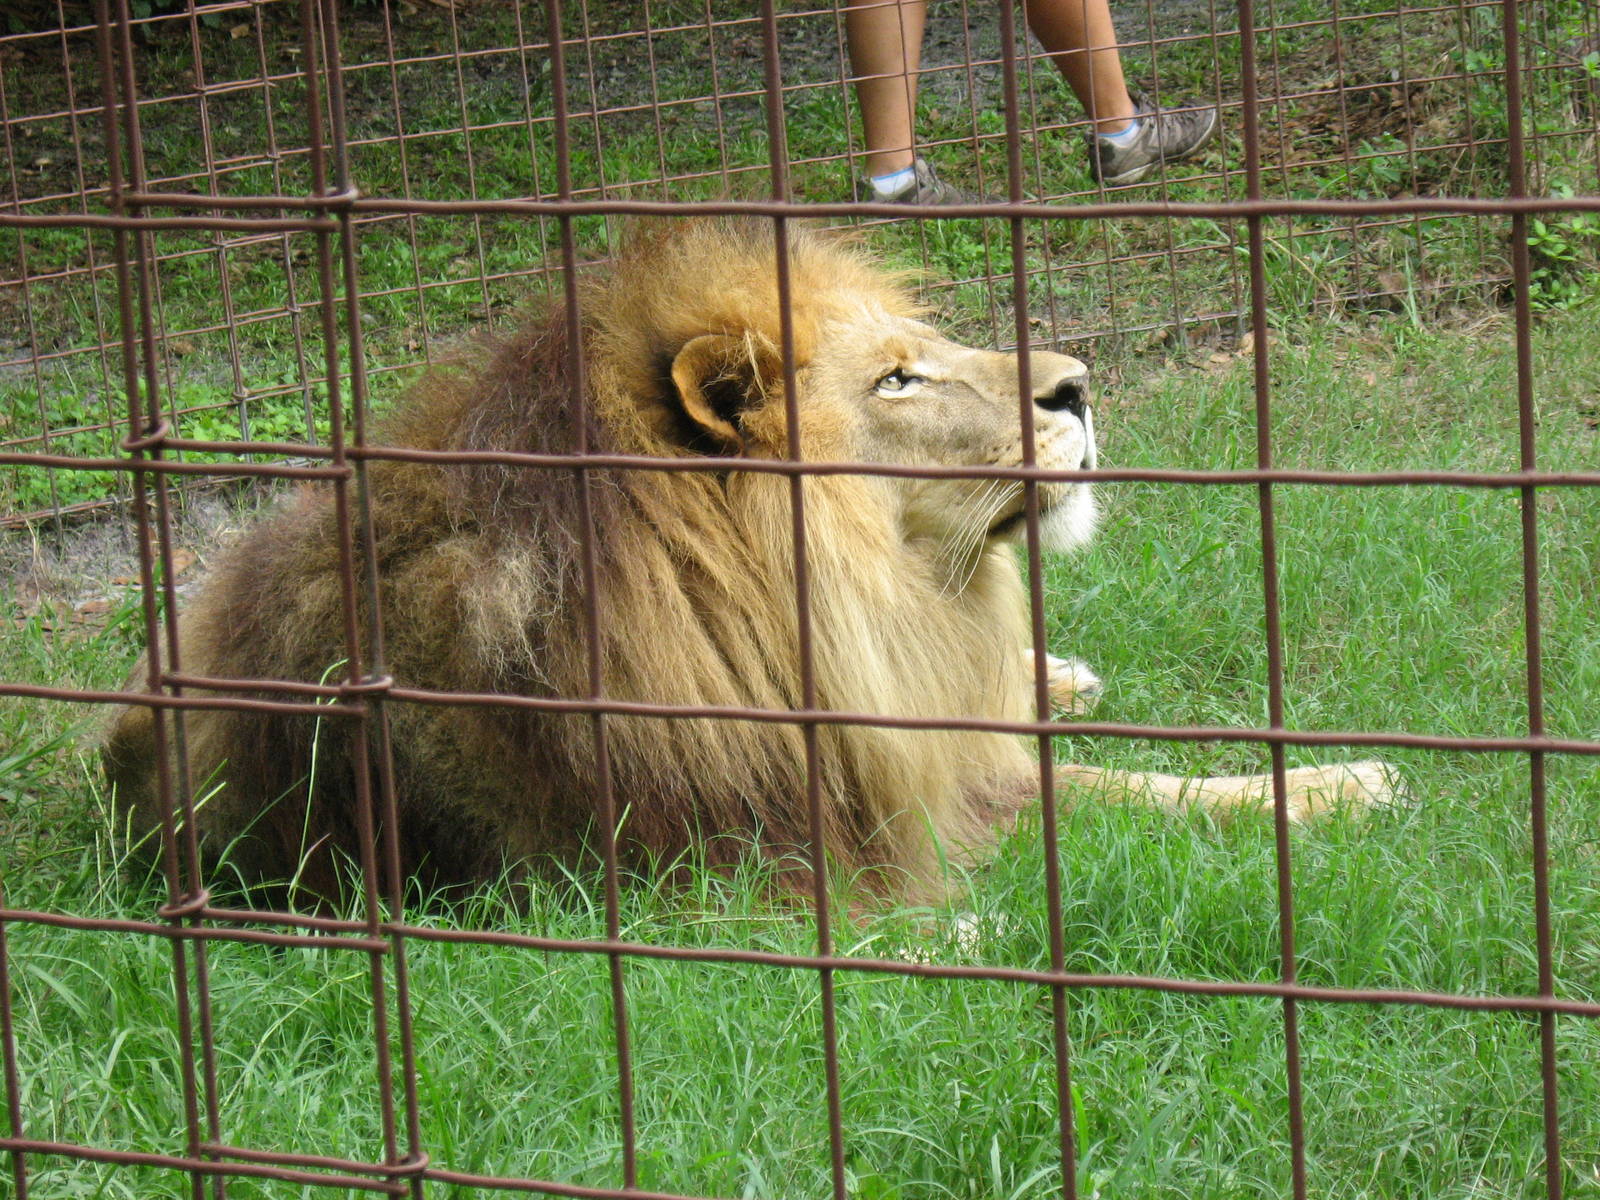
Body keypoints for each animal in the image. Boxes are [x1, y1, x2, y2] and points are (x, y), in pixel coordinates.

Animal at [103, 218, 1392, 904]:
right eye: (895, 380)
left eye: (922, 349)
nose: (1077, 384)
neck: (865, 613)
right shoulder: (737, 860)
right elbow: (1078, 793)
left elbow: (1123, 780)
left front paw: (1338, 781)